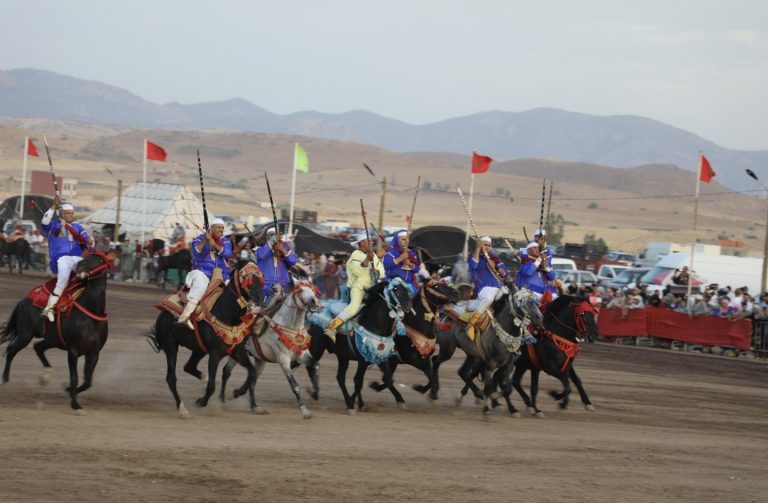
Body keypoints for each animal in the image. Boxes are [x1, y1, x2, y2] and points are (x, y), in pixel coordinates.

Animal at [0, 249, 112, 412]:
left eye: (100, 261)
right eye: (88, 257)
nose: (80, 266)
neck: (91, 312)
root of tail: (23, 301)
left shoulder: (94, 352)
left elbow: (87, 381)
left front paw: (68, 391)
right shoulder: (73, 350)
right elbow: (74, 378)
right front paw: (75, 404)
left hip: (52, 340)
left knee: (38, 347)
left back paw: (45, 376)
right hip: (25, 335)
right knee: (11, 350)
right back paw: (4, 379)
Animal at [148, 260, 265, 418]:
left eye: (260, 276)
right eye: (246, 276)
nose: (260, 297)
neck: (226, 313)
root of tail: (162, 315)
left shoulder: (237, 351)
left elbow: (252, 372)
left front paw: (236, 392)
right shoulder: (215, 354)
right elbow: (212, 386)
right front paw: (201, 401)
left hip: (199, 350)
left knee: (189, 367)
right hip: (171, 346)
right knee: (171, 378)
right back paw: (182, 409)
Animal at [220, 277, 320, 418]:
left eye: (313, 289)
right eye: (300, 290)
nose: (314, 302)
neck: (289, 326)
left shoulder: (302, 355)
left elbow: (315, 365)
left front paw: (314, 391)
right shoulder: (283, 360)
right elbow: (294, 385)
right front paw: (304, 410)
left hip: (259, 360)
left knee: (252, 380)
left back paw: (254, 406)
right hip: (237, 354)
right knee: (226, 372)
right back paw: (223, 401)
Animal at [305, 278, 413, 414]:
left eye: (406, 288)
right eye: (395, 289)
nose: (408, 306)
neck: (374, 325)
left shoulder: (380, 356)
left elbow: (387, 379)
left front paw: (400, 400)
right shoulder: (362, 359)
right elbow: (358, 381)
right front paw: (352, 403)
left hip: (343, 356)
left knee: (340, 378)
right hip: (317, 349)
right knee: (310, 367)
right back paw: (315, 393)